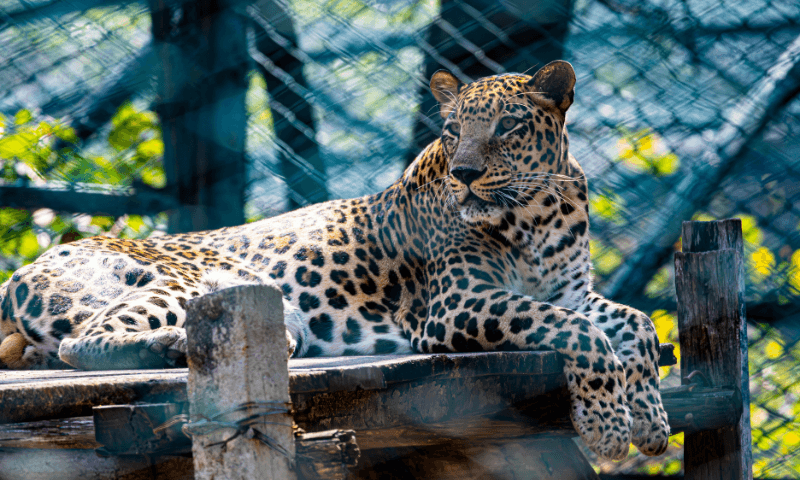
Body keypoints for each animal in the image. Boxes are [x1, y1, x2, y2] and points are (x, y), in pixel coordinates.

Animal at [0, 61, 669, 460]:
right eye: (453, 130)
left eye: (507, 125)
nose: (465, 175)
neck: (539, 210)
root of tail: (23, 271)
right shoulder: (457, 304)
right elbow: (577, 332)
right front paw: (608, 427)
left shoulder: (570, 290)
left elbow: (635, 324)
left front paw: (650, 420)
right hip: (187, 282)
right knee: (82, 340)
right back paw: (170, 348)